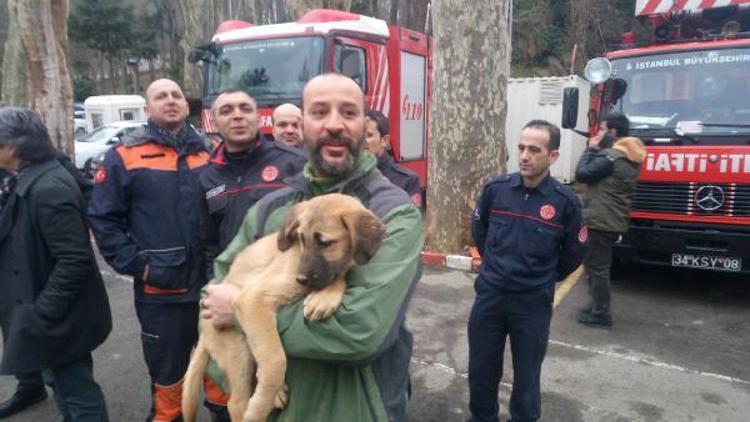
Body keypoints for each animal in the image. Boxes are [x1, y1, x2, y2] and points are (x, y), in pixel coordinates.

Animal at [180, 194, 384, 422]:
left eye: (324, 242)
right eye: (301, 239)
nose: (300, 279)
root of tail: (203, 334)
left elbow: (339, 277)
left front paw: (324, 298)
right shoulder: (254, 298)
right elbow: (276, 361)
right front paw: (260, 407)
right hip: (238, 349)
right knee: (237, 400)